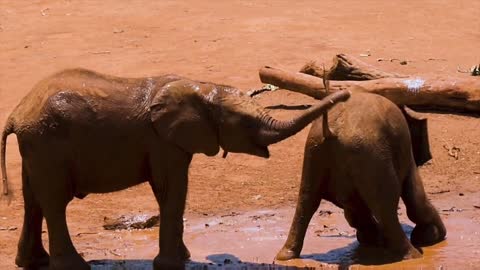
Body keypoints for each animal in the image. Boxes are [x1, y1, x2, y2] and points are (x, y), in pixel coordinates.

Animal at [0, 68, 348, 270]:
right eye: (245, 122)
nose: (343, 93)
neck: (201, 88)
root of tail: (16, 113)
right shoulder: (162, 141)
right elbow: (171, 189)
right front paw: (172, 264)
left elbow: (171, 191)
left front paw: (183, 259)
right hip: (48, 143)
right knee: (54, 202)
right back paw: (75, 267)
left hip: (38, 147)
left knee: (34, 202)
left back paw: (33, 262)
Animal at [272, 92, 448, 262]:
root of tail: (332, 130)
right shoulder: (405, 152)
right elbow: (415, 198)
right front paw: (431, 237)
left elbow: (353, 210)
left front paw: (372, 239)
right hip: (370, 154)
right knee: (386, 205)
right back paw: (413, 255)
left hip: (315, 152)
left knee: (306, 201)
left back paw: (285, 256)